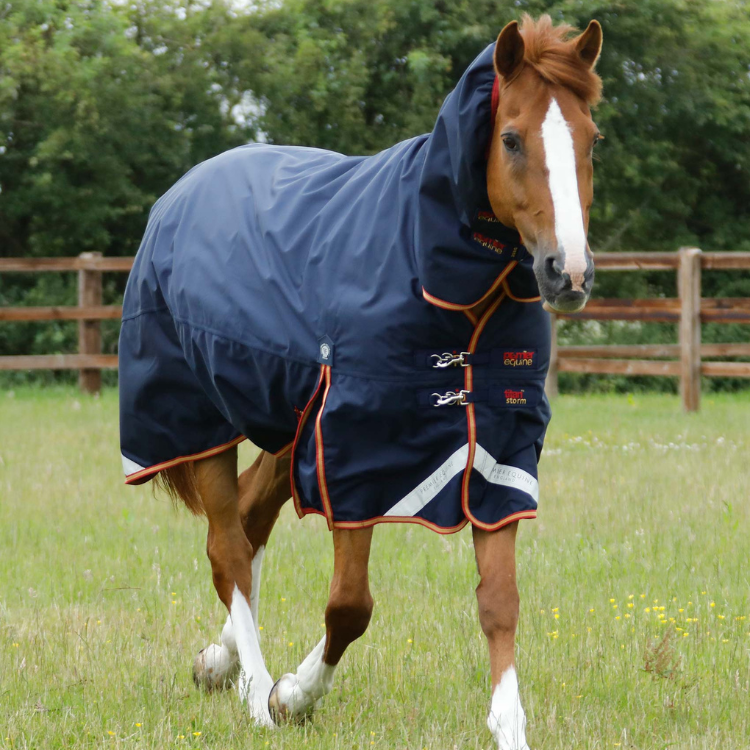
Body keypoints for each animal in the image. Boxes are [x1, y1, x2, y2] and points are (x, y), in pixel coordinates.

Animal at [118, 14, 602, 749]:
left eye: (592, 138)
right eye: (512, 138)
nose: (566, 271)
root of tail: (180, 194)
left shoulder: (496, 454)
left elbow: (499, 603)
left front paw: (510, 728)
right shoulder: (356, 455)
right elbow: (350, 606)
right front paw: (293, 695)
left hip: (290, 431)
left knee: (250, 526)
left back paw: (217, 664)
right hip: (201, 426)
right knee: (228, 548)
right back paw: (256, 691)